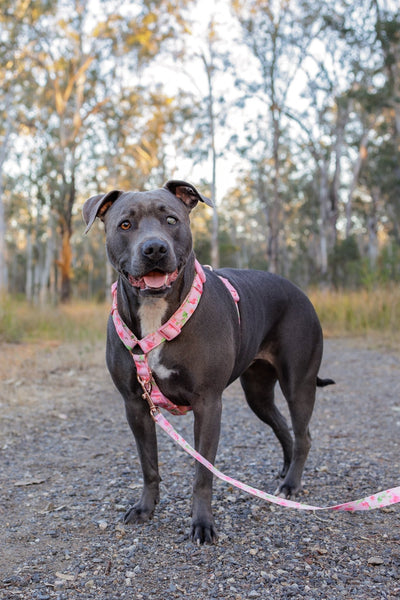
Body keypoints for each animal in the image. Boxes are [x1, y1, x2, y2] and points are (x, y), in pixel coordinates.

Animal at [83, 178, 332, 544]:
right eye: (125, 225)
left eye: (171, 220)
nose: (154, 249)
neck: (157, 312)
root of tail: (299, 290)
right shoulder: (135, 405)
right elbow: (148, 465)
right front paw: (145, 508)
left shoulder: (208, 404)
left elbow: (203, 473)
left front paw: (201, 523)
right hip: (258, 392)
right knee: (283, 428)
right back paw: (284, 475)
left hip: (298, 382)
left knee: (303, 435)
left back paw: (291, 484)